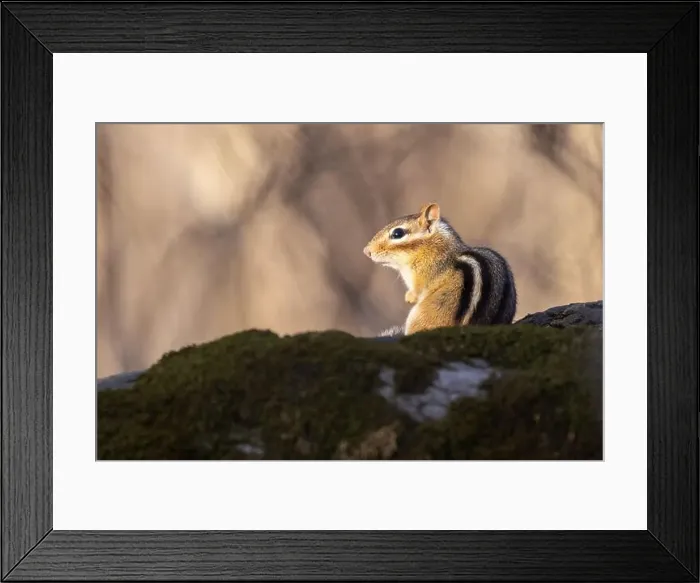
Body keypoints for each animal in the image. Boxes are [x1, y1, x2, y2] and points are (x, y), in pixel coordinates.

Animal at [363, 202, 517, 336]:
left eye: (397, 233)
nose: (366, 251)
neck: (432, 246)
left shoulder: (423, 275)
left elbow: (418, 291)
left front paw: (410, 297)